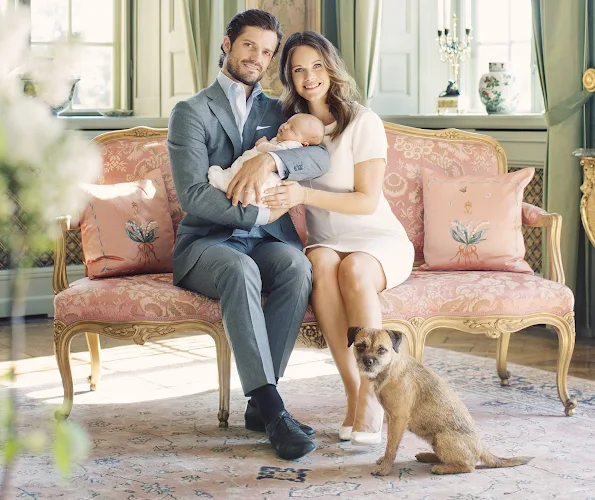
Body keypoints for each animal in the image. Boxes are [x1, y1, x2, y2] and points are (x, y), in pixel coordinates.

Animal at [346, 326, 532, 474]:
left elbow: (391, 447)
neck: (390, 367)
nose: (368, 361)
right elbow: (390, 445)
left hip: (442, 438)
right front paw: (384, 462)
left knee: (468, 466)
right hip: (436, 440)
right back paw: (428, 456)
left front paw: (384, 468)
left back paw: (441, 468)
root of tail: (481, 448)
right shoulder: (391, 417)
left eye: (382, 350)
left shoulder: (398, 419)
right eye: (360, 346)